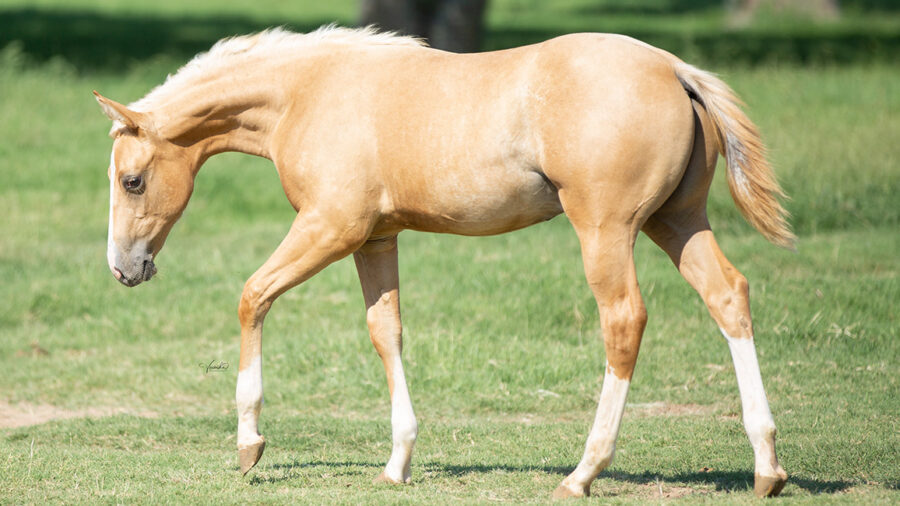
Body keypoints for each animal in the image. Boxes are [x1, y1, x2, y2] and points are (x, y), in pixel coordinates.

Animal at [95, 25, 792, 498]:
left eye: (132, 181)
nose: (124, 269)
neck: (307, 93)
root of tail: (675, 69)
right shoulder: (376, 240)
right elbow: (387, 332)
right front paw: (397, 462)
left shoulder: (330, 227)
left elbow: (252, 296)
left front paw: (249, 446)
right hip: (677, 222)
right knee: (728, 296)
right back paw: (767, 468)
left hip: (607, 230)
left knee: (623, 320)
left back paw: (583, 472)